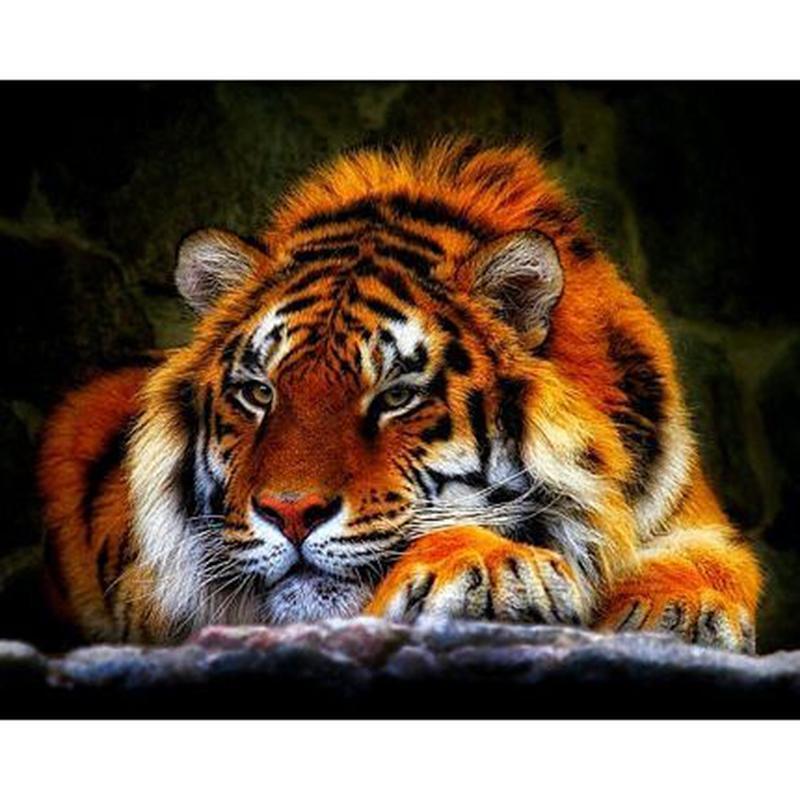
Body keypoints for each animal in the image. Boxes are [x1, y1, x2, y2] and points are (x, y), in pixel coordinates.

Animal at [37, 138, 761, 650]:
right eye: (259, 393)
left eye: (396, 397)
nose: (289, 513)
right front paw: (494, 568)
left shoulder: (692, 516)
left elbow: (711, 561)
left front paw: (677, 610)